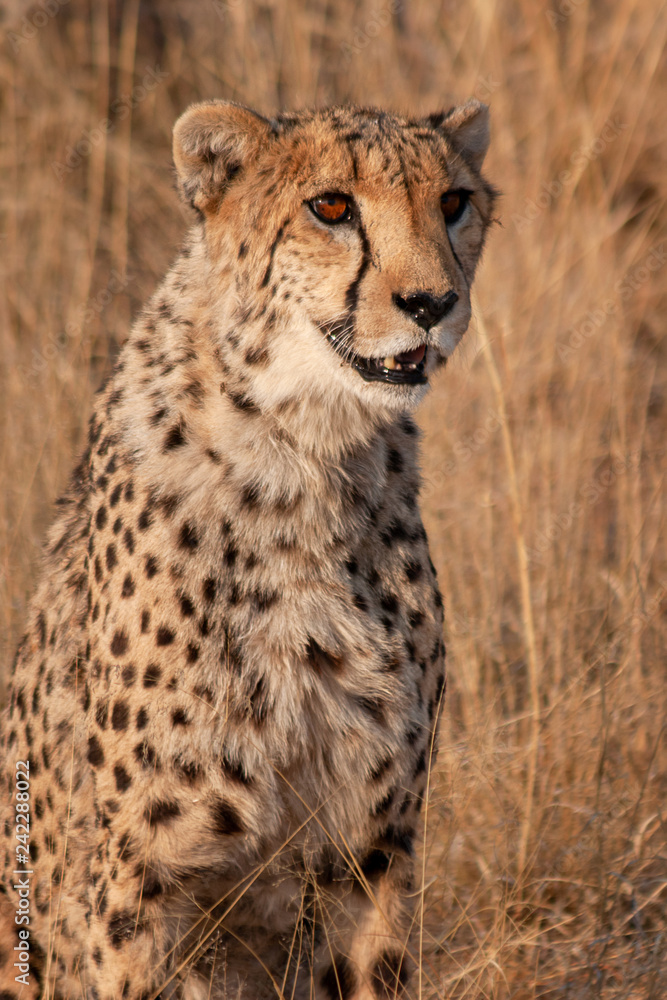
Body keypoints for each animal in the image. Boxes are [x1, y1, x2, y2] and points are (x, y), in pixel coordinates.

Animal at [0, 98, 496, 1000]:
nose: (431, 302)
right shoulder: (143, 876)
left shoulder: (370, 847)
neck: (304, 454)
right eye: (330, 207)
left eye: (452, 203)